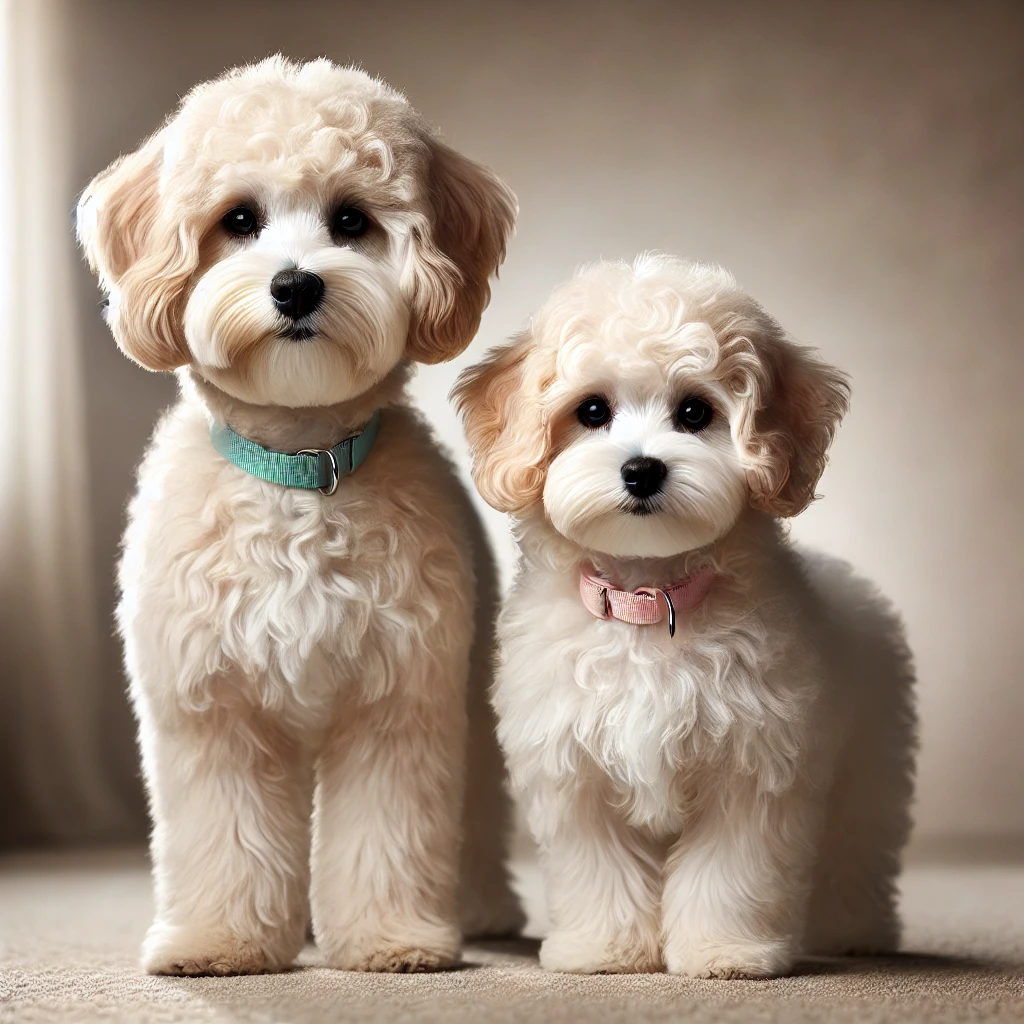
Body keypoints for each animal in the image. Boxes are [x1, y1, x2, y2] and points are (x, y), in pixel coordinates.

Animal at [74, 56, 520, 974]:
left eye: (351, 220)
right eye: (238, 220)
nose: (295, 283)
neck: (298, 476)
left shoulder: (398, 699)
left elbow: (388, 834)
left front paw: (391, 938)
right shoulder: (214, 710)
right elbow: (224, 836)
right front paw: (219, 940)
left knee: (475, 809)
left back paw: (481, 908)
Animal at [452, 251, 917, 978]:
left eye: (695, 412)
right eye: (592, 411)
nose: (642, 470)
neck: (648, 602)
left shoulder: (752, 766)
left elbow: (728, 871)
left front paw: (724, 951)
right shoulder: (573, 768)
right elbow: (599, 866)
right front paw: (605, 949)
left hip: (870, 764)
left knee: (857, 848)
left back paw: (854, 931)